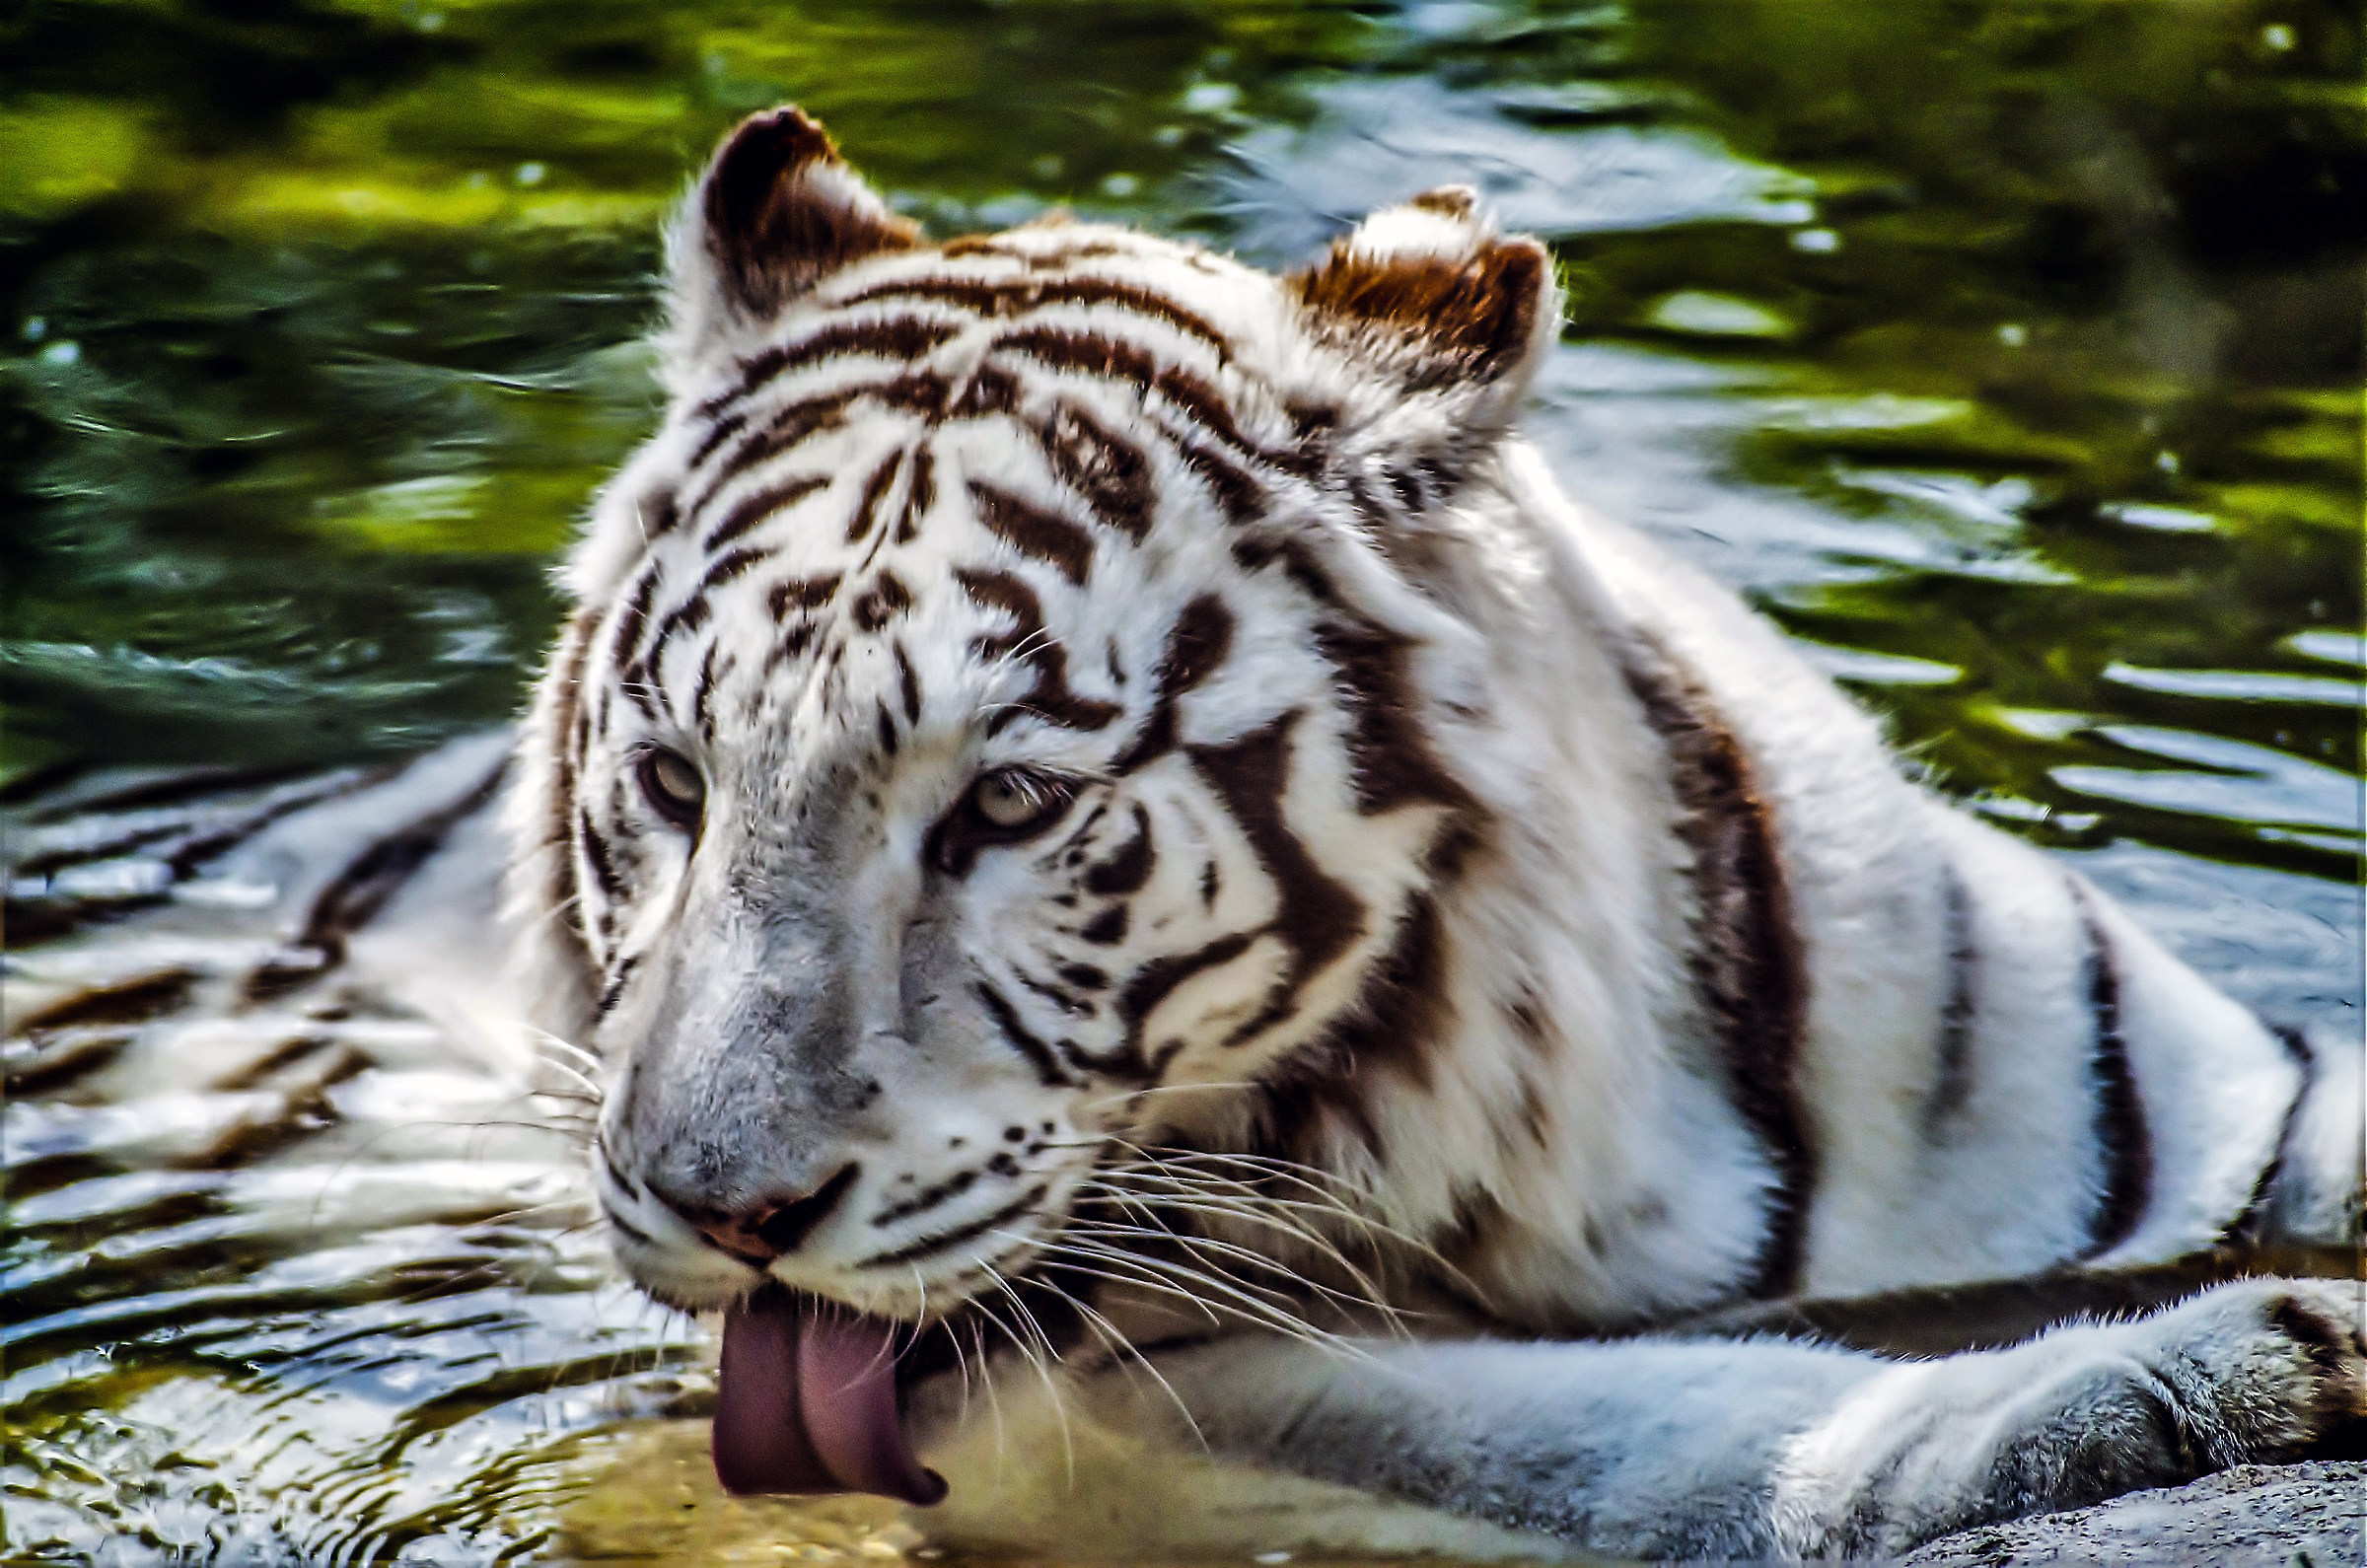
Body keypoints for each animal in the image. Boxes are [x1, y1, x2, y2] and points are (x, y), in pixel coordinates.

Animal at [505, 105, 2365, 1561]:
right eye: (675, 780)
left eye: (1011, 803)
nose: (724, 1211)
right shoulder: (1148, 1397)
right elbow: (1654, 1432)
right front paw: (2184, 1379)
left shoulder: (2209, 1113)